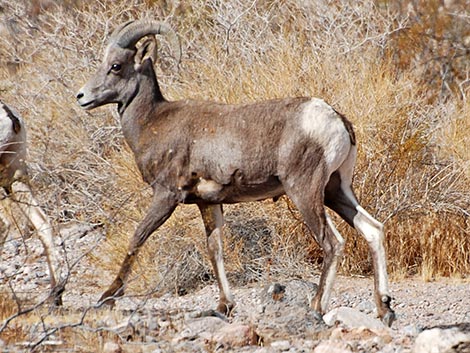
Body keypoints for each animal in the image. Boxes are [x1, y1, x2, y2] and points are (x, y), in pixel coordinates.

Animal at [77, 20, 396, 326]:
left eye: (116, 66)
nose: (82, 97)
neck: (152, 123)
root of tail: (337, 120)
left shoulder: (167, 196)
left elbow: (138, 237)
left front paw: (107, 297)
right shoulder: (208, 203)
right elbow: (215, 249)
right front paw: (224, 306)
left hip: (305, 192)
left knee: (332, 243)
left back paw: (318, 307)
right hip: (336, 190)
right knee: (373, 230)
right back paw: (385, 309)